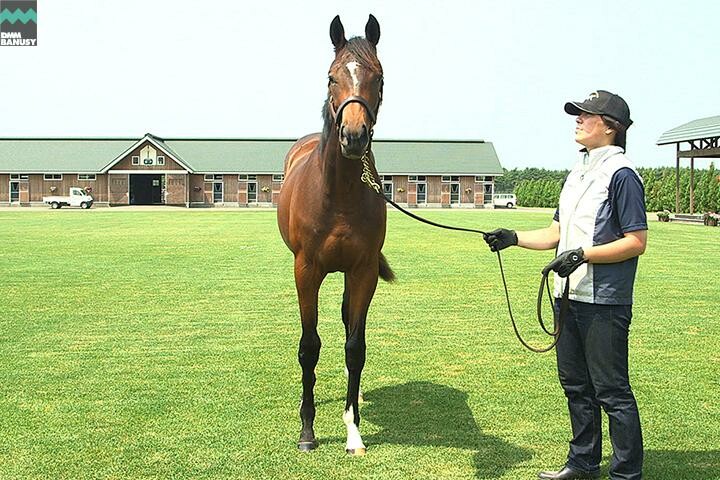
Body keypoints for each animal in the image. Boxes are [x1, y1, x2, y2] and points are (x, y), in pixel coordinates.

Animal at [278, 15, 396, 456]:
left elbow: (355, 346)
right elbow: (309, 347)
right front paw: (307, 431)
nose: (354, 136)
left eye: (379, 78)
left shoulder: (362, 271)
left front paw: (353, 431)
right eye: (331, 77)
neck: (339, 194)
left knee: (348, 322)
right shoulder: (306, 271)